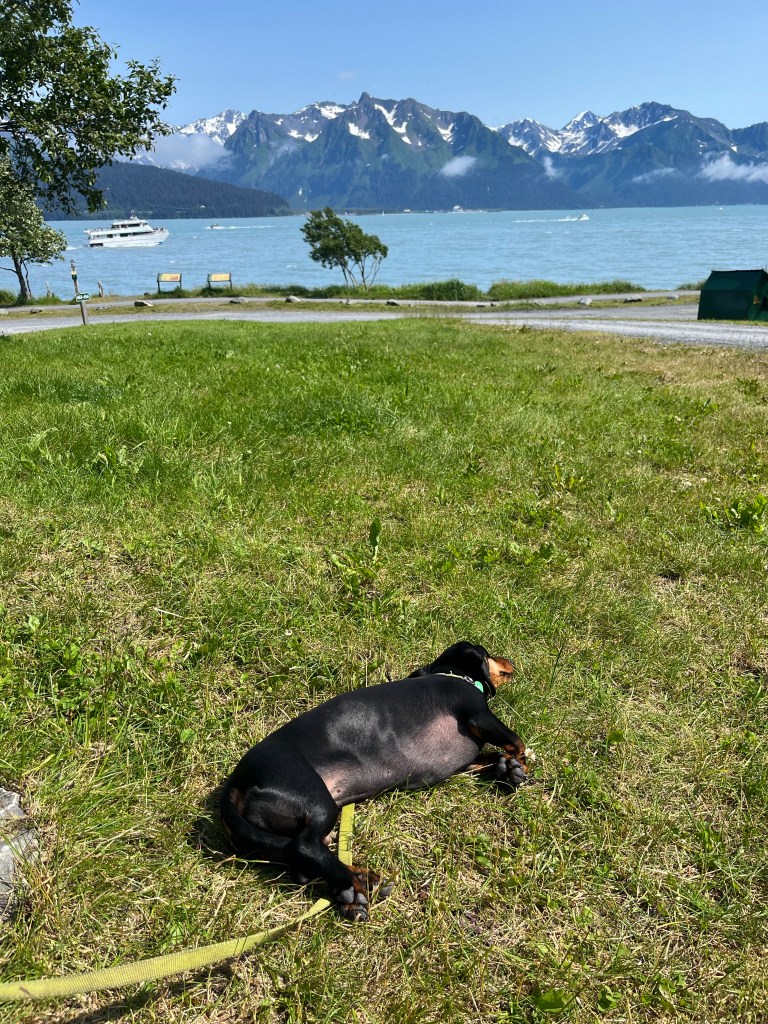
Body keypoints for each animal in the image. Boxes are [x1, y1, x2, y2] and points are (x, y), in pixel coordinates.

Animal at [220, 642, 528, 921]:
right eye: (487, 652)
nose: (511, 659)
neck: (451, 675)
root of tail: (234, 783)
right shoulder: (477, 713)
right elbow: (516, 741)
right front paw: (519, 764)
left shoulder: (465, 763)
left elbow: (491, 757)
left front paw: (507, 769)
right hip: (318, 802)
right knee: (304, 848)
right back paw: (350, 889)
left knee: (302, 863)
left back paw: (364, 881)